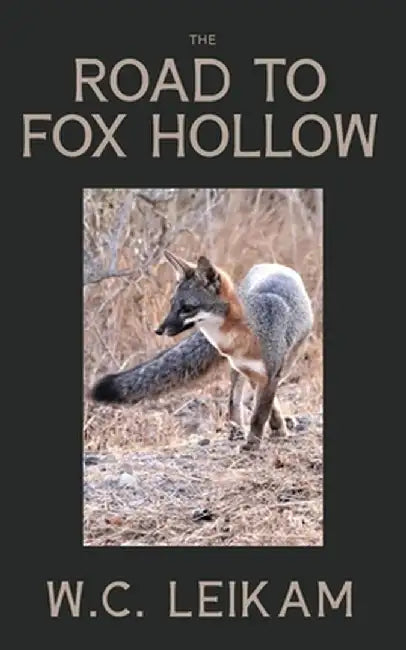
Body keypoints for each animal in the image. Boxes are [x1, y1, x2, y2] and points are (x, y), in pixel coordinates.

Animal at [91, 250, 314, 451]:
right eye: (172, 305)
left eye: (187, 308)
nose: (158, 330)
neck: (247, 330)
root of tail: (273, 265)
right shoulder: (251, 371)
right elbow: (257, 406)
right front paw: (264, 433)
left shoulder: (270, 373)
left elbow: (260, 413)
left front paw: (254, 443)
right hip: (241, 371)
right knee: (234, 399)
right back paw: (238, 430)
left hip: (286, 363)